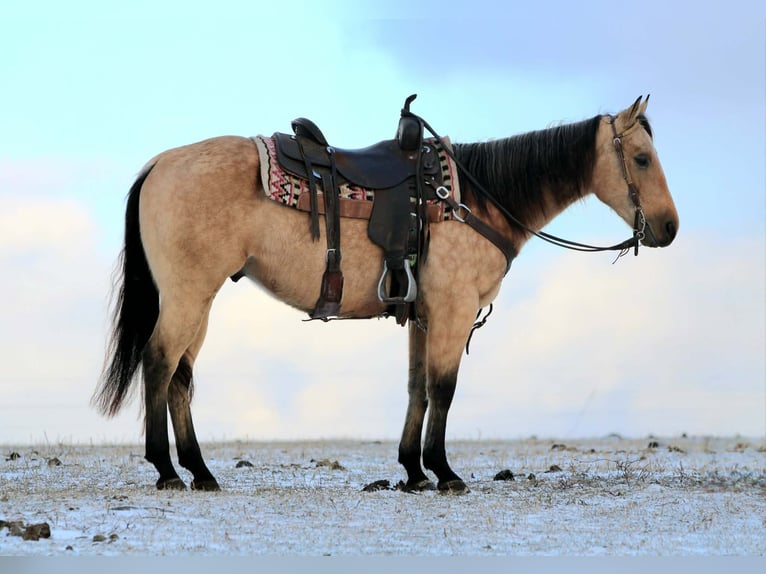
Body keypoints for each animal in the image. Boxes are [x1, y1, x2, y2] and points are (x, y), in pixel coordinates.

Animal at [93, 96, 678, 493]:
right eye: (642, 158)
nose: (669, 228)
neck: (476, 200)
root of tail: (160, 164)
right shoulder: (453, 311)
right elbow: (444, 388)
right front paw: (444, 471)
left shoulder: (423, 316)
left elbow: (417, 388)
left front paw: (414, 471)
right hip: (188, 295)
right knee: (159, 362)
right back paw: (167, 469)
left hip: (199, 300)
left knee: (180, 377)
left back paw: (200, 470)